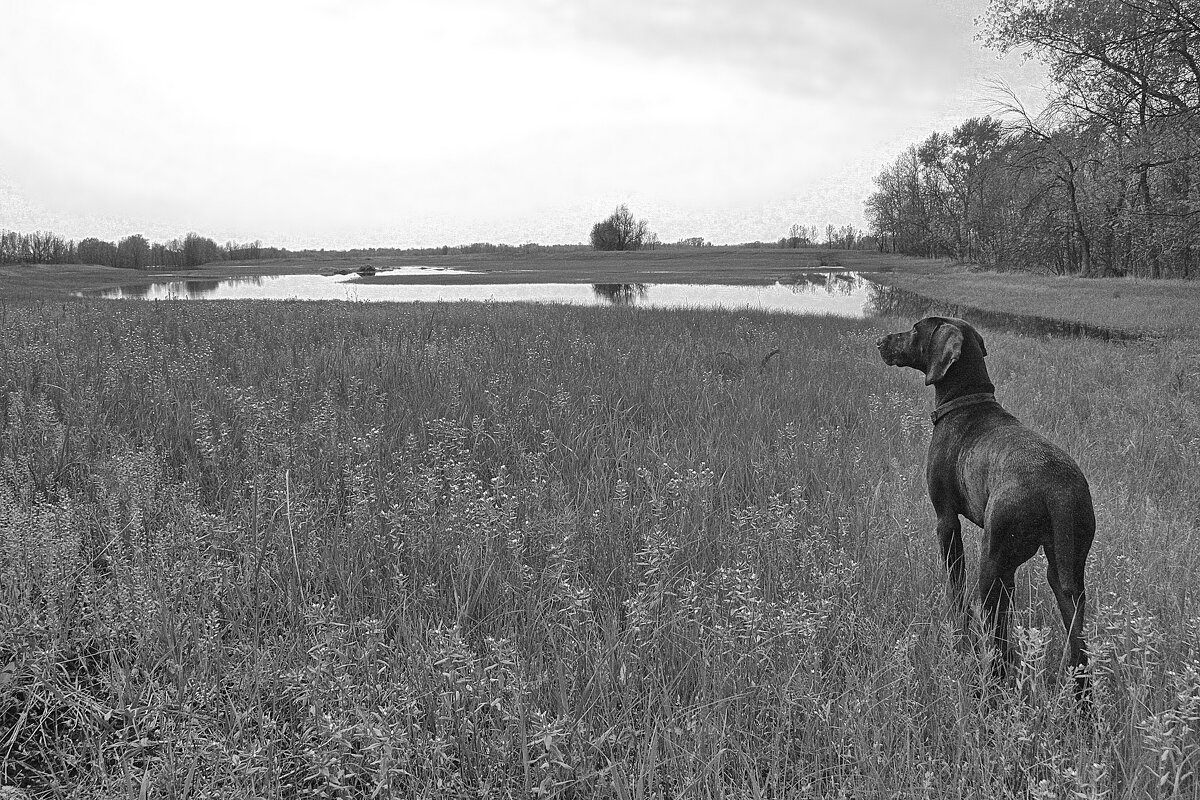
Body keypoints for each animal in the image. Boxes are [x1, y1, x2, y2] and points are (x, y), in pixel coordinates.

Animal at [878, 316, 1094, 695]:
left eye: (916, 329)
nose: (881, 341)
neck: (967, 402)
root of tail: (1058, 489)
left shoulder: (946, 520)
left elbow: (956, 585)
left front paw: (956, 627)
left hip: (992, 561)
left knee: (992, 628)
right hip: (1063, 572)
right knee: (1074, 643)